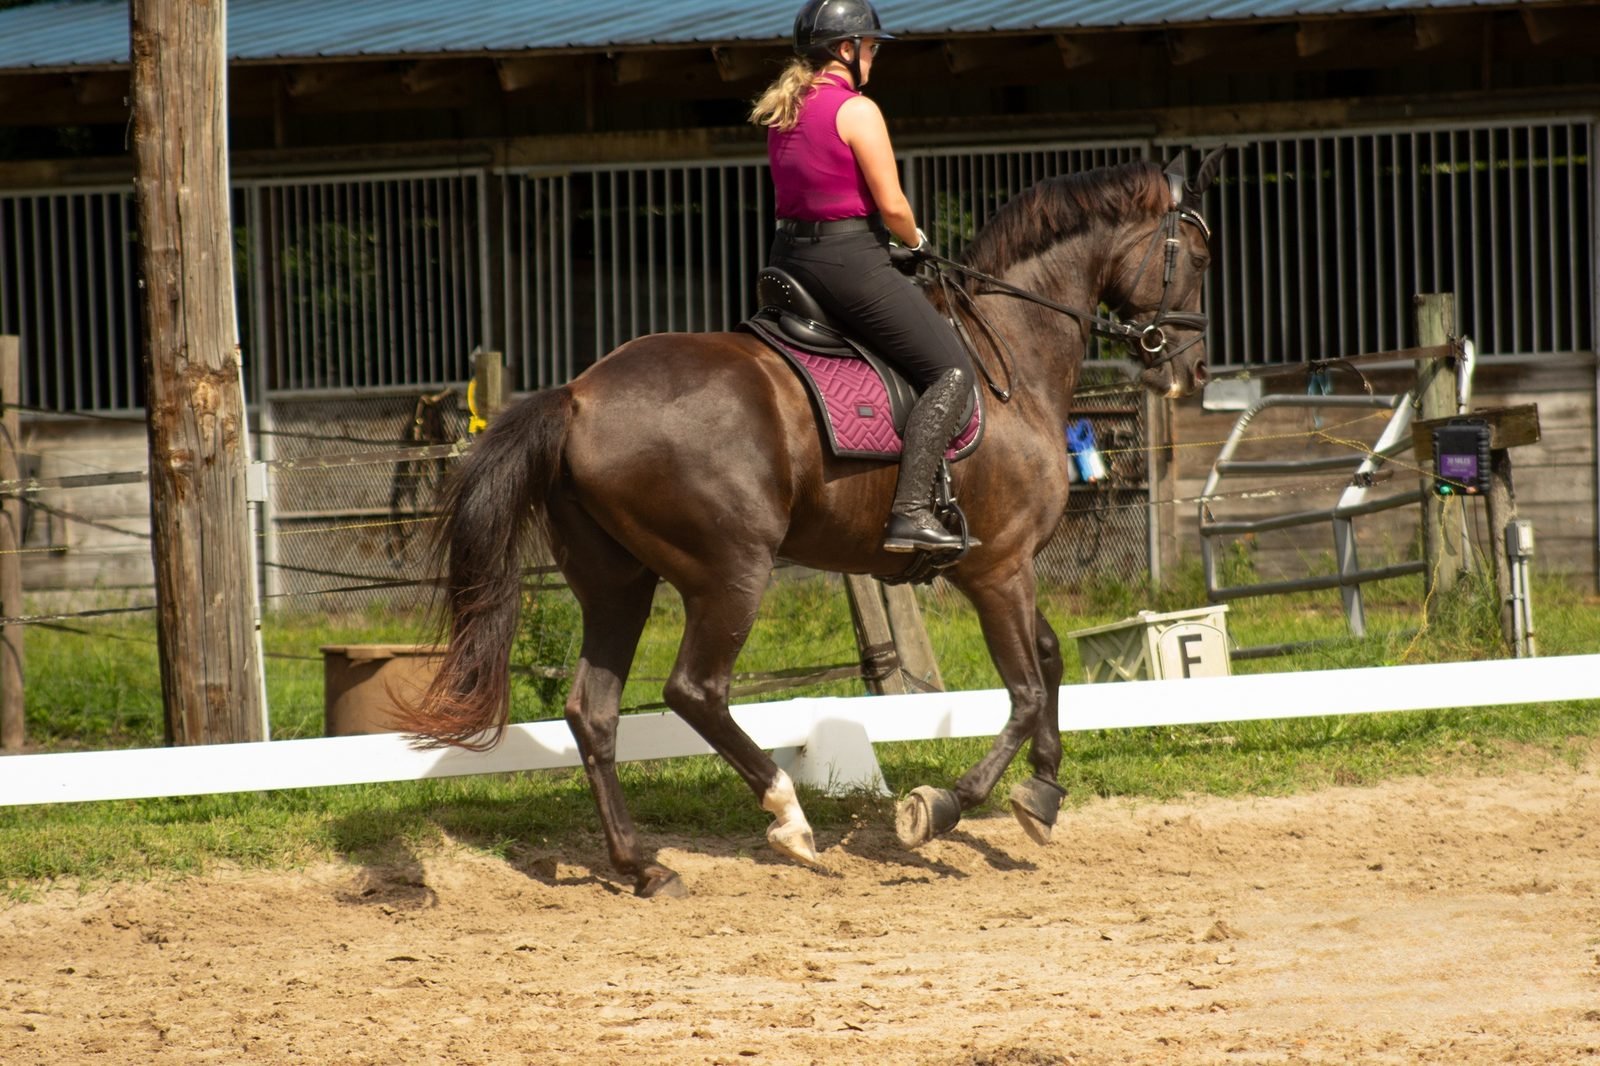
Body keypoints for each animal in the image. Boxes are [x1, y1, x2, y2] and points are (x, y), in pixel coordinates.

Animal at [402, 150, 1225, 898]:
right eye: (1201, 257)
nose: (1189, 371)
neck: (1011, 356)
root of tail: (577, 395)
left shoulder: (998, 567)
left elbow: (1049, 664)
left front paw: (1043, 796)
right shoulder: (997, 568)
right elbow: (1023, 693)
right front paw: (940, 808)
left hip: (617, 584)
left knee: (593, 712)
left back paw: (644, 868)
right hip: (732, 574)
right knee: (694, 690)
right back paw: (788, 817)